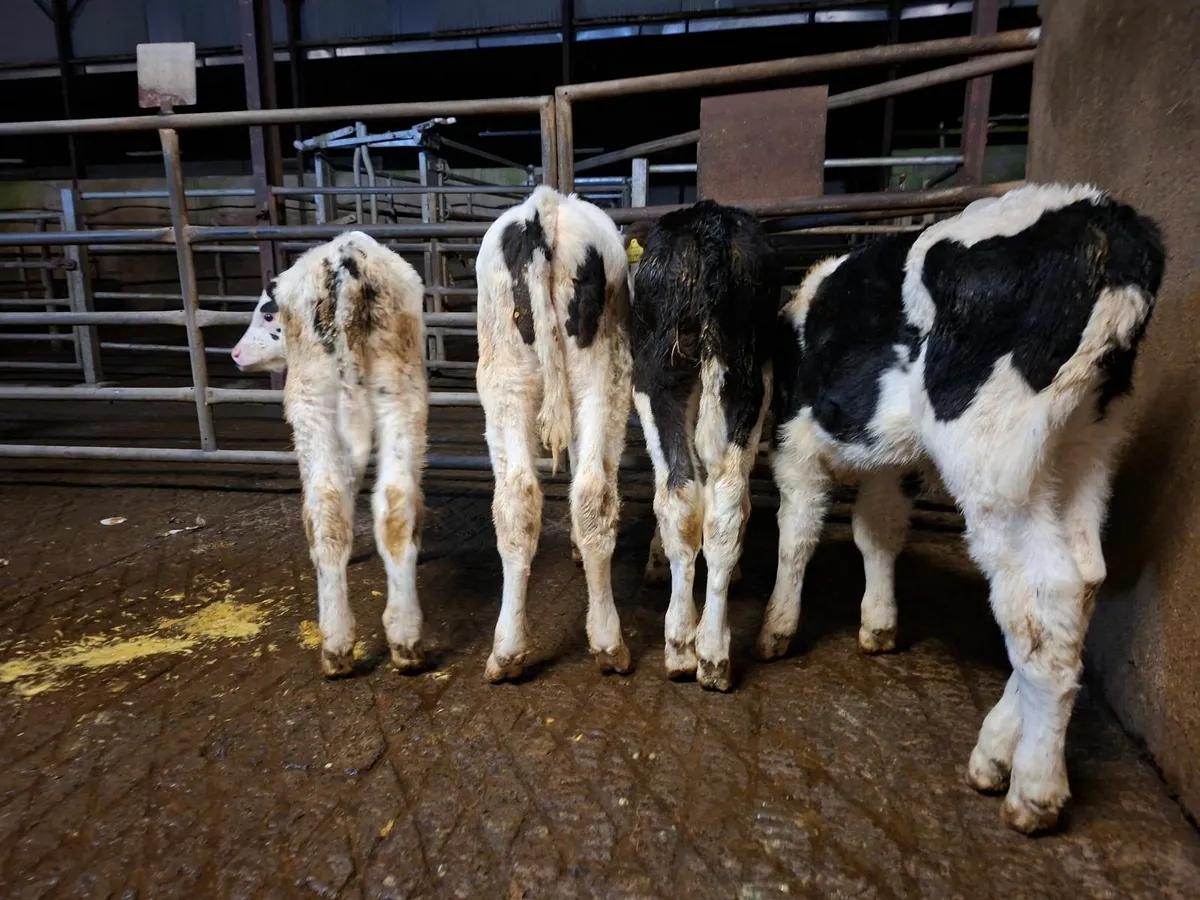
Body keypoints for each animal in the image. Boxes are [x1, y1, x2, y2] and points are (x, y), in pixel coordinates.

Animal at [232, 231, 428, 678]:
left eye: (266, 315)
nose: (234, 353)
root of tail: (345, 261)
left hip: (311, 405)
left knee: (326, 506)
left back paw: (336, 646)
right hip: (400, 398)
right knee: (394, 504)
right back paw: (404, 640)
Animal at [475, 185, 634, 683]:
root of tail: (544, 207)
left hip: (507, 380)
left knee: (519, 499)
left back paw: (509, 651)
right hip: (598, 374)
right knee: (591, 492)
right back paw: (605, 643)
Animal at [630, 199, 782, 692]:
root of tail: (707, 221)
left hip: (661, 374)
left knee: (684, 497)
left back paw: (686, 647)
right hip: (738, 379)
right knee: (719, 503)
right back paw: (709, 652)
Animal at [763, 183, 1165, 833]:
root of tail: (1099, 213)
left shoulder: (794, 441)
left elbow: (796, 531)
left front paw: (777, 626)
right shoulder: (892, 461)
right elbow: (877, 532)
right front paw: (878, 622)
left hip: (992, 460)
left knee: (1039, 595)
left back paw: (1034, 786)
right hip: (1083, 445)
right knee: (1079, 584)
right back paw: (998, 749)